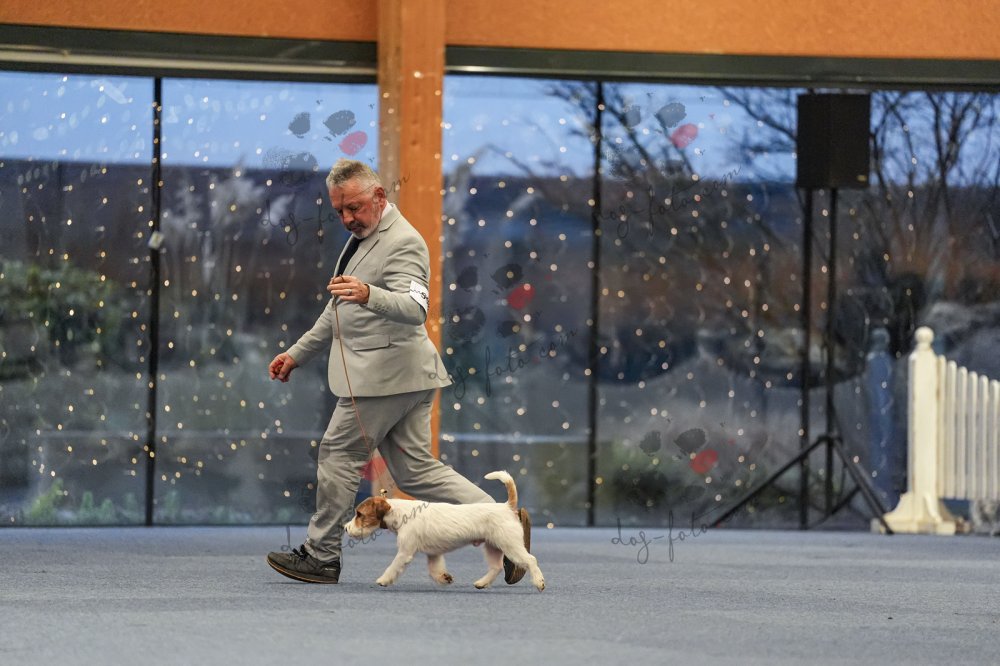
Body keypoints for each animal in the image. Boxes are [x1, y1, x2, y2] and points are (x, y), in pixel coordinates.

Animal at [343, 471, 545, 591]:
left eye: (359, 514)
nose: (345, 528)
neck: (399, 512)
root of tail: (507, 506)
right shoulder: (434, 554)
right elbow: (434, 570)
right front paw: (444, 578)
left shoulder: (405, 552)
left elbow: (393, 566)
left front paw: (383, 579)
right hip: (492, 547)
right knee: (496, 567)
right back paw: (481, 583)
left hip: (509, 545)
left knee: (530, 560)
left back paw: (539, 581)